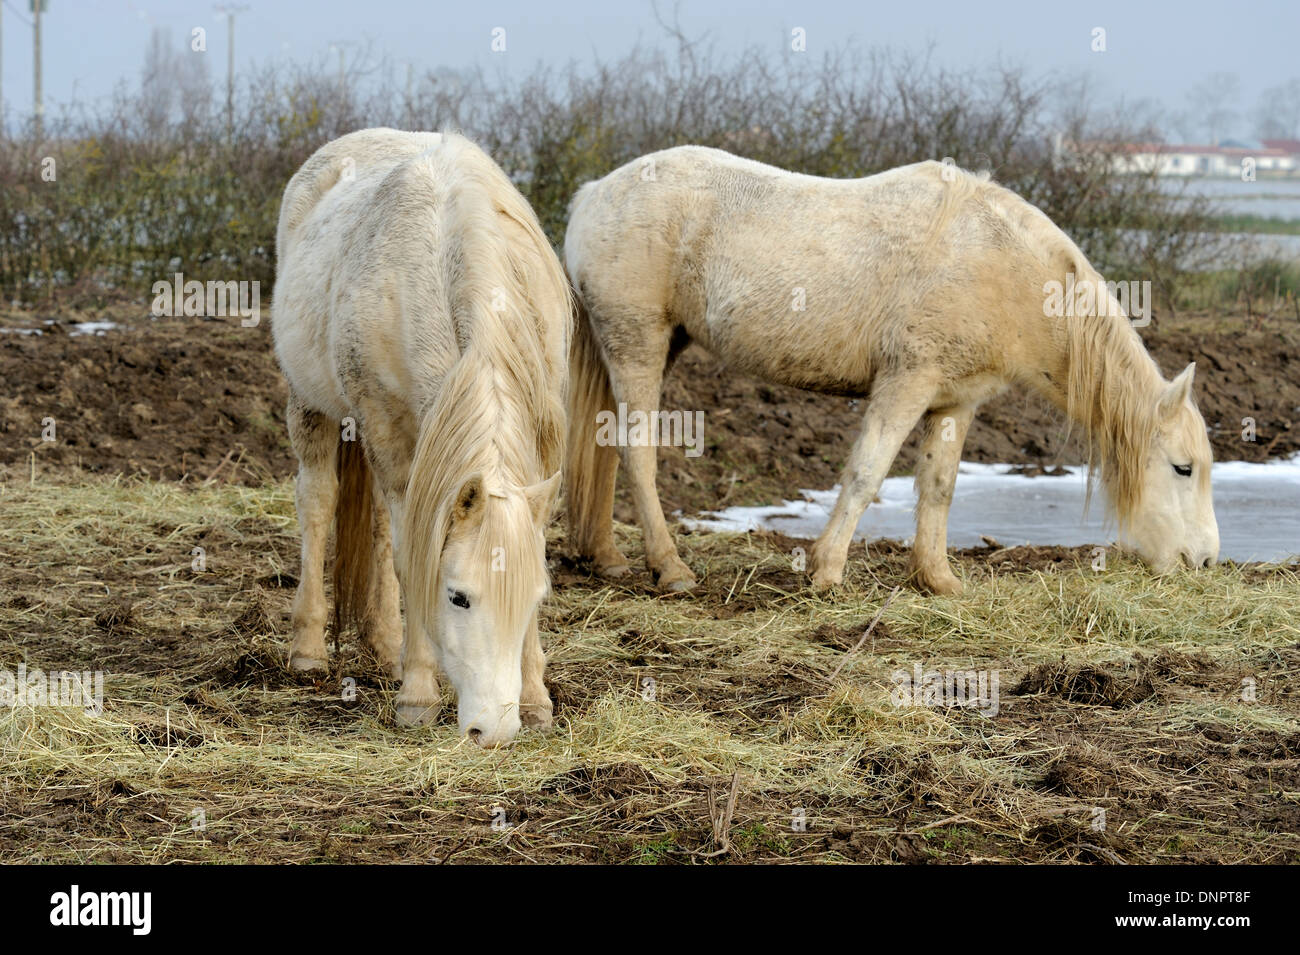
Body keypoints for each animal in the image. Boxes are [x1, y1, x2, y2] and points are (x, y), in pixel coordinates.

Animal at [273, 128, 570, 747]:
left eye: (537, 596)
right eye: (458, 596)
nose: (493, 730)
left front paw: (535, 701)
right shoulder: (387, 430)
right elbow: (410, 559)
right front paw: (417, 696)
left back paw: (386, 648)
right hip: (311, 406)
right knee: (318, 503)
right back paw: (310, 650)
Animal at [564, 146, 1219, 595]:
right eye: (1182, 468)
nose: (1207, 560)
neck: (1001, 265)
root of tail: (594, 192)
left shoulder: (955, 402)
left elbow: (939, 486)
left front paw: (937, 579)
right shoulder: (906, 384)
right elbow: (866, 473)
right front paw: (827, 571)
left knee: (605, 450)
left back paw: (607, 558)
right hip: (638, 342)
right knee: (638, 454)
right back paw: (669, 567)